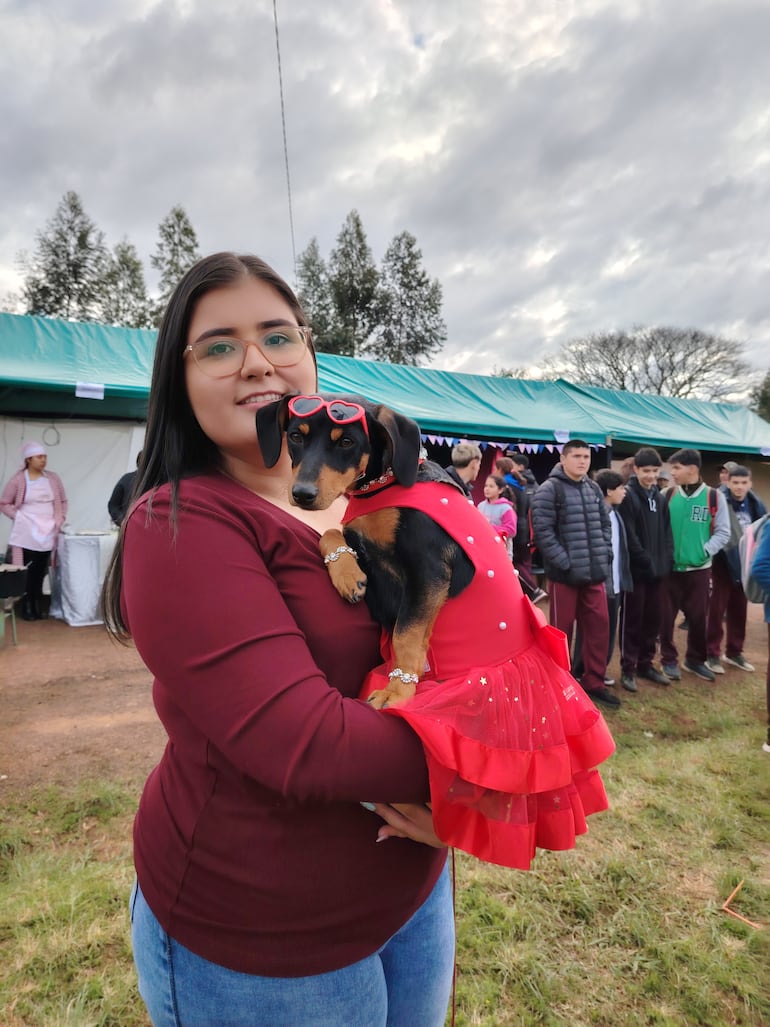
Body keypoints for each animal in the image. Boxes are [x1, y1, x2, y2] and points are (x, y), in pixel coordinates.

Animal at [257, 392, 476, 706]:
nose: (302, 495)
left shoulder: (429, 572)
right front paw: (348, 576)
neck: (382, 486)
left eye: (347, 442)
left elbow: (405, 634)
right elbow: (332, 531)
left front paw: (397, 690)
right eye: (296, 436)